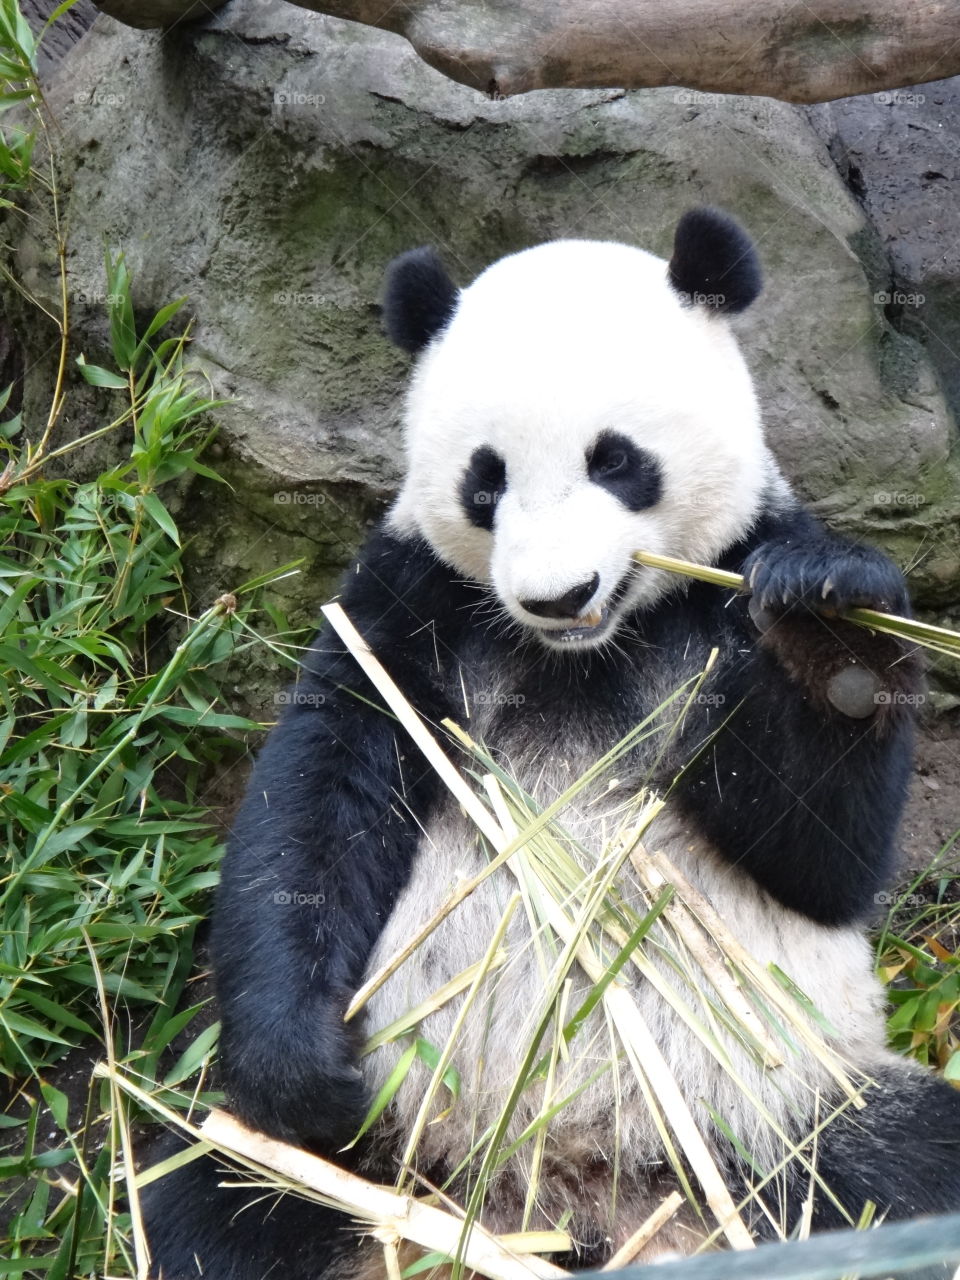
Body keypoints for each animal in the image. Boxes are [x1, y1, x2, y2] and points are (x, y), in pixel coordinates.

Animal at [143, 208, 960, 1279]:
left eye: (616, 460)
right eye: (484, 482)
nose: (556, 597)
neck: (583, 655)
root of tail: (560, 1198)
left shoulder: (725, 586)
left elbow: (825, 862)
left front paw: (831, 631)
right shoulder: (411, 605)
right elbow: (316, 804)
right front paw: (305, 1071)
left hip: (787, 1114)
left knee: (909, 1165)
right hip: (378, 1141)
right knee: (208, 1198)